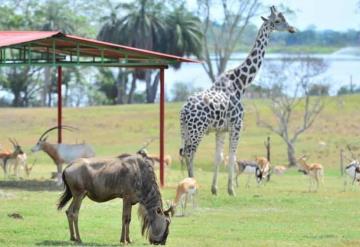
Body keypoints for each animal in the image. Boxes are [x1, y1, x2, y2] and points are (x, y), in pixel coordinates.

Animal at [179, 5, 296, 196]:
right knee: (190, 153)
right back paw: (192, 185)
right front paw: (231, 190)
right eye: (278, 21)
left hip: (186, 131)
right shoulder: (237, 125)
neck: (241, 84)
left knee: (184, 152)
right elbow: (233, 155)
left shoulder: (221, 129)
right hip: (197, 130)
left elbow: (219, 157)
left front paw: (215, 189)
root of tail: (183, 112)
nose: (292, 29)